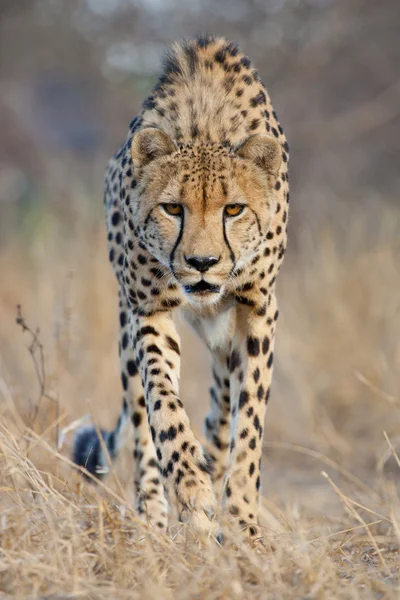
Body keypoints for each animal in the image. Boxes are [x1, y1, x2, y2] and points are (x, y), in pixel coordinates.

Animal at [73, 34, 290, 544]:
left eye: (234, 209)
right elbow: (164, 405)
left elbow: (249, 425)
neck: (207, 126)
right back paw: (156, 522)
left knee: (220, 409)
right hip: (126, 328)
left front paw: (242, 523)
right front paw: (191, 486)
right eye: (173, 208)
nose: (202, 264)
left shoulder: (258, 309)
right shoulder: (148, 309)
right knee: (140, 420)